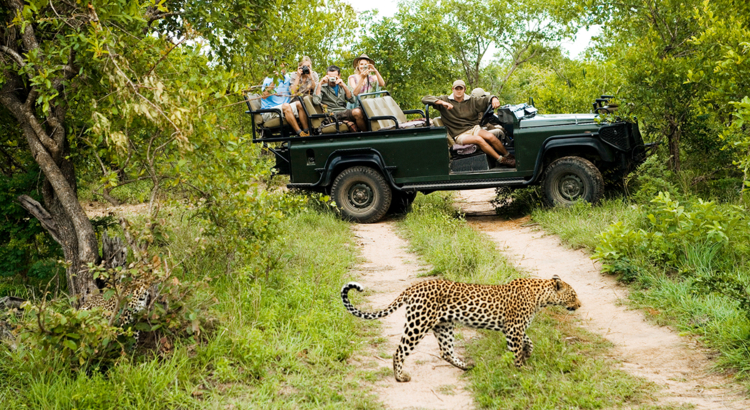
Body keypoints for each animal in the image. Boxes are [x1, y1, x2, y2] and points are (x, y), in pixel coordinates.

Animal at [344, 274, 584, 382]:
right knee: (399, 351)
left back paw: (466, 366)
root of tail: (413, 286)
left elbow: (529, 341)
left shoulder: (514, 329)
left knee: (445, 351)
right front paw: (520, 370)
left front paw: (527, 354)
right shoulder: (513, 329)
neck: (541, 296)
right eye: (573, 295)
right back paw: (400, 377)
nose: (580, 305)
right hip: (418, 324)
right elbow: (516, 351)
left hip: (444, 326)